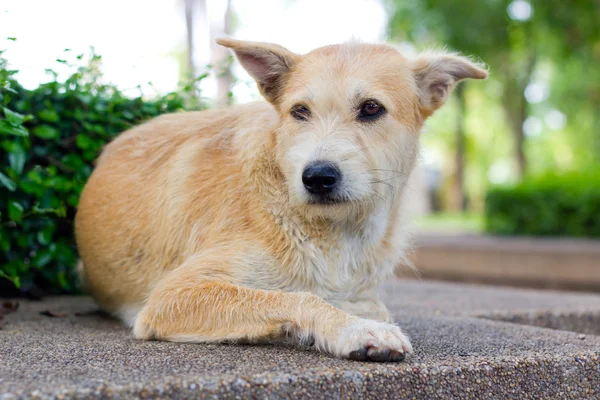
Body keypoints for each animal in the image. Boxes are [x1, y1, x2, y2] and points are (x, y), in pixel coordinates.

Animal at [76, 39, 488, 362]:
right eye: (299, 111)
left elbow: (364, 302)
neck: (332, 232)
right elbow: (294, 297)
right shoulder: (171, 297)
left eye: (371, 108)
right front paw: (354, 330)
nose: (317, 177)